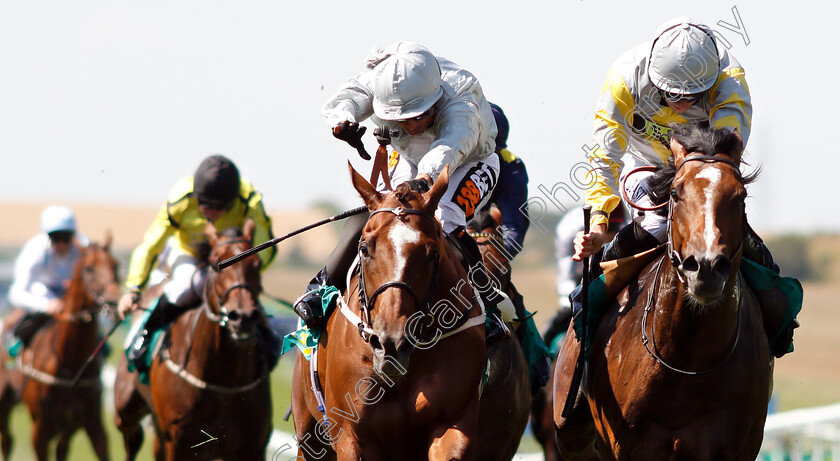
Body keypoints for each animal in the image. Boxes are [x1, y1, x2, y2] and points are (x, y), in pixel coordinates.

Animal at [0, 234, 121, 460]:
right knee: (7, 440)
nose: (114, 302)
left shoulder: (91, 422)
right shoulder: (40, 430)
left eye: (115, 265)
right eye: (89, 268)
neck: (70, 363)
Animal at [113, 220, 270, 460]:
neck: (223, 378)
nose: (242, 317)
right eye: (216, 264)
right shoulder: (178, 442)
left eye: (257, 263)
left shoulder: (251, 446)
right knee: (132, 436)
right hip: (125, 408)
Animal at [292, 166, 486, 460]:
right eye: (364, 249)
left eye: (432, 252)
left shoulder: (453, 422)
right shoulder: (352, 436)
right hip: (309, 439)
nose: (392, 342)